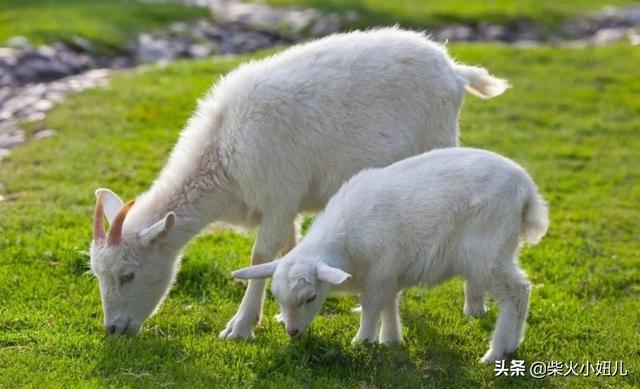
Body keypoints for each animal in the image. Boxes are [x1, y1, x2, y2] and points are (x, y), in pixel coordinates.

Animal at [91, 27, 510, 336]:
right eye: (98, 274)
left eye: (127, 275)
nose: (113, 329)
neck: (223, 152)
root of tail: (455, 71)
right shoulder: (288, 204)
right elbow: (288, 249)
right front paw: (279, 311)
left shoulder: (278, 195)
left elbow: (260, 255)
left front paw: (240, 326)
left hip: (440, 141)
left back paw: (474, 304)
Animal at [235, 147, 552, 362]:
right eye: (277, 298)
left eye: (311, 297)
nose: (292, 332)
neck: (345, 240)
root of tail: (526, 191)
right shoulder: (388, 272)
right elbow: (389, 303)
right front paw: (390, 340)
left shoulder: (381, 270)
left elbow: (372, 306)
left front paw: (362, 341)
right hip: (502, 249)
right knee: (521, 289)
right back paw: (511, 346)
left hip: (487, 252)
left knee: (516, 291)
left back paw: (496, 352)